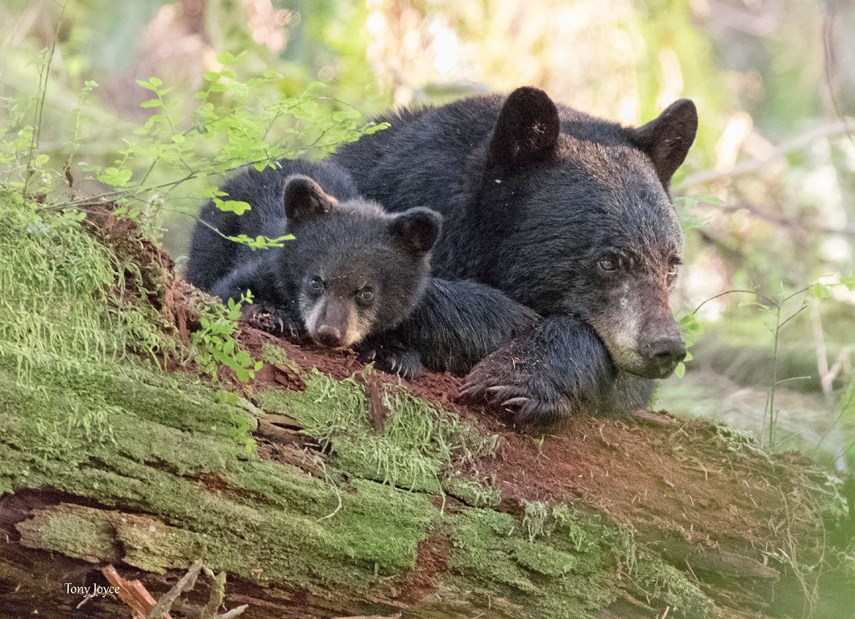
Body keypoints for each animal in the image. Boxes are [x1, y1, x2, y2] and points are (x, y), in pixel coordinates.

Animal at [185, 161, 444, 364]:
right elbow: (227, 289)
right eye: (316, 282)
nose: (329, 333)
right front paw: (275, 315)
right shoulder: (268, 266)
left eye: (366, 293)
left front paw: (392, 353)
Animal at [332, 87, 700, 424]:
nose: (665, 347)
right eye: (608, 261)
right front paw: (505, 321)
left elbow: (625, 380)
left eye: (671, 266)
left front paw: (518, 377)